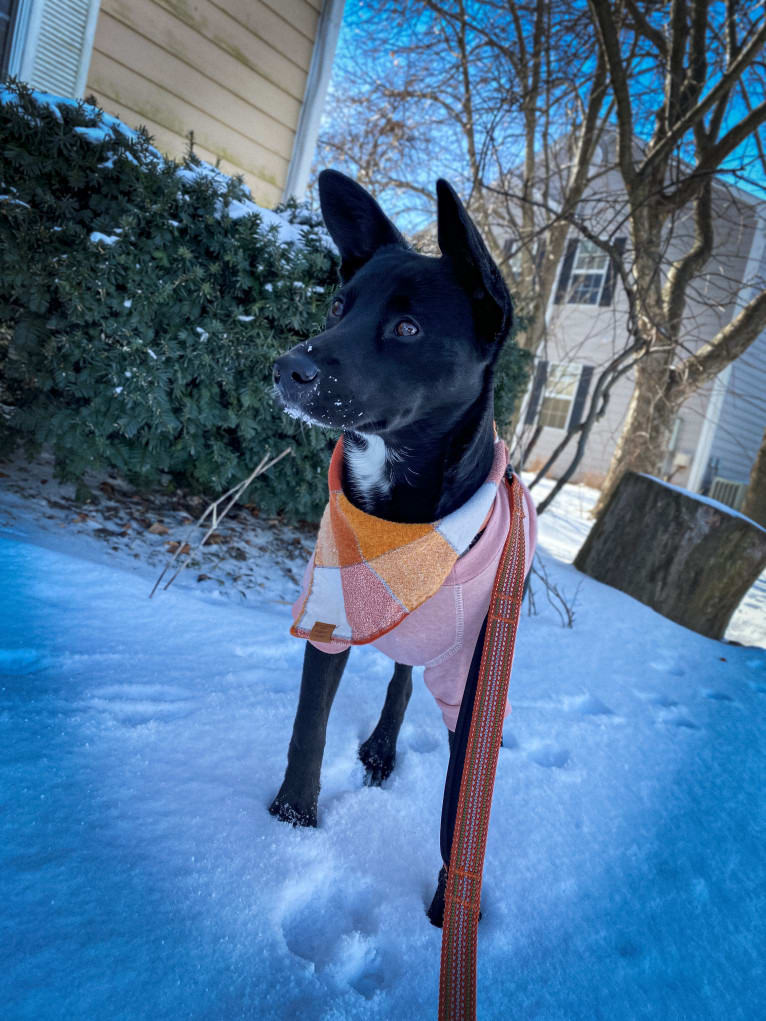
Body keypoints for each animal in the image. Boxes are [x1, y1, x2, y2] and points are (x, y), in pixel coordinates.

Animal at [269, 169, 516, 927]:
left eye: (407, 328)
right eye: (338, 305)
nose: (285, 368)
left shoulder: (476, 677)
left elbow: (461, 804)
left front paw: (451, 906)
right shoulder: (329, 614)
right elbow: (308, 724)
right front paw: (292, 818)